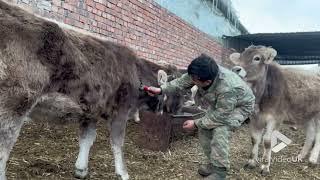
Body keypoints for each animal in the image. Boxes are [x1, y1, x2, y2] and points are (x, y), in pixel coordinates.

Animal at [0, 1, 182, 180]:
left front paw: (81, 169)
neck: (136, 74)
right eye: (173, 90)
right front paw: (123, 173)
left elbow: (87, 139)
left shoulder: (91, 110)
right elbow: (117, 142)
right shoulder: (120, 111)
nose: (176, 110)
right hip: (15, 101)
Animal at [230, 45, 320, 176]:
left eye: (257, 58)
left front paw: (265, 167)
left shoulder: (275, 118)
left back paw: (312, 159)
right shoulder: (255, 118)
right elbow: (254, 139)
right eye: (240, 57)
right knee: (311, 134)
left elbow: (267, 142)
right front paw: (251, 162)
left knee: (318, 136)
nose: (236, 69)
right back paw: (300, 156)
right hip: (306, 114)